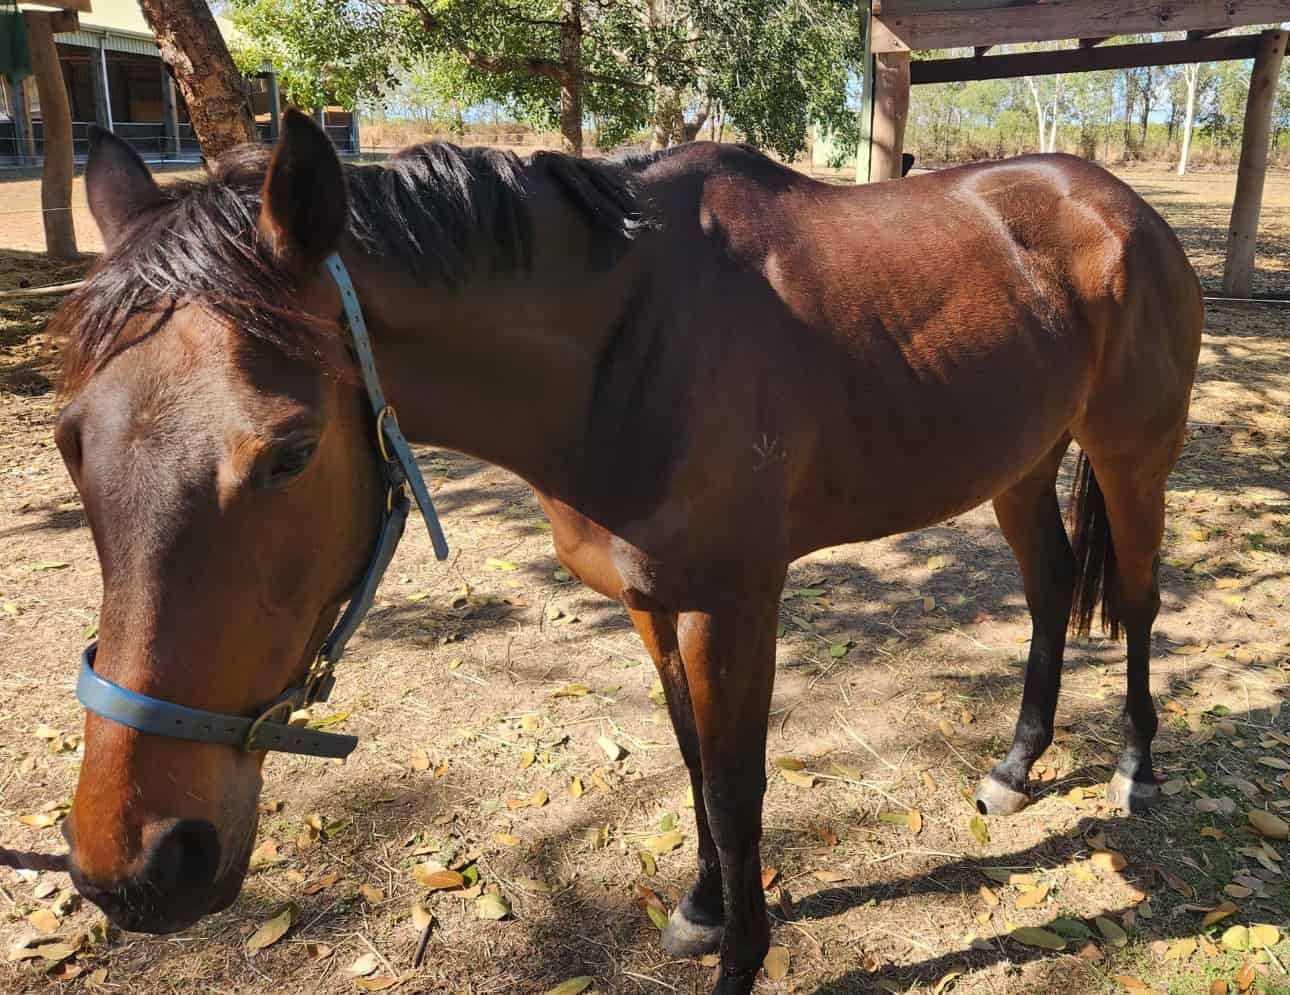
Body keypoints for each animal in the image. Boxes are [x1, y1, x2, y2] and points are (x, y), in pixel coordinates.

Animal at [50, 110, 1201, 994]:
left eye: (287, 453)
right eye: (70, 443)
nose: (137, 864)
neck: (628, 348)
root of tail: (1119, 206)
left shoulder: (733, 605)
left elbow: (737, 786)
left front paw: (742, 955)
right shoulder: (652, 601)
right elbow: (692, 761)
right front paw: (700, 906)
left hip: (1132, 455)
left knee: (1139, 602)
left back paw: (1137, 768)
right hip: (1020, 464)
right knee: (1049, 591)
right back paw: (1015, 763)